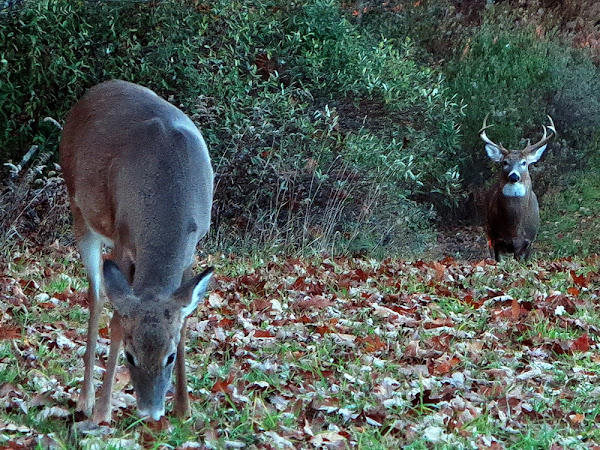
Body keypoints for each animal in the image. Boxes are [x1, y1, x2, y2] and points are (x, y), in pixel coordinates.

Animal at [59, 80, 214, 422]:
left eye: (169, 357)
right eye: (130, 356)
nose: (150, 410)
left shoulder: (193, 247)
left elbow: (184, 321)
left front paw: (184, 408)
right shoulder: (121, 237)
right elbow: (117, 321)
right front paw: (102, 412)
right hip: (80, 211)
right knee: (97, 296)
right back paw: (85, 400)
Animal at [480, 114, 556, 262]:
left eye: (524, 162)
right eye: (505, 162)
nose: (514, 176)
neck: (514, 229)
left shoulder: (529, 241)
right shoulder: (496, 239)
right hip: (488, 234)